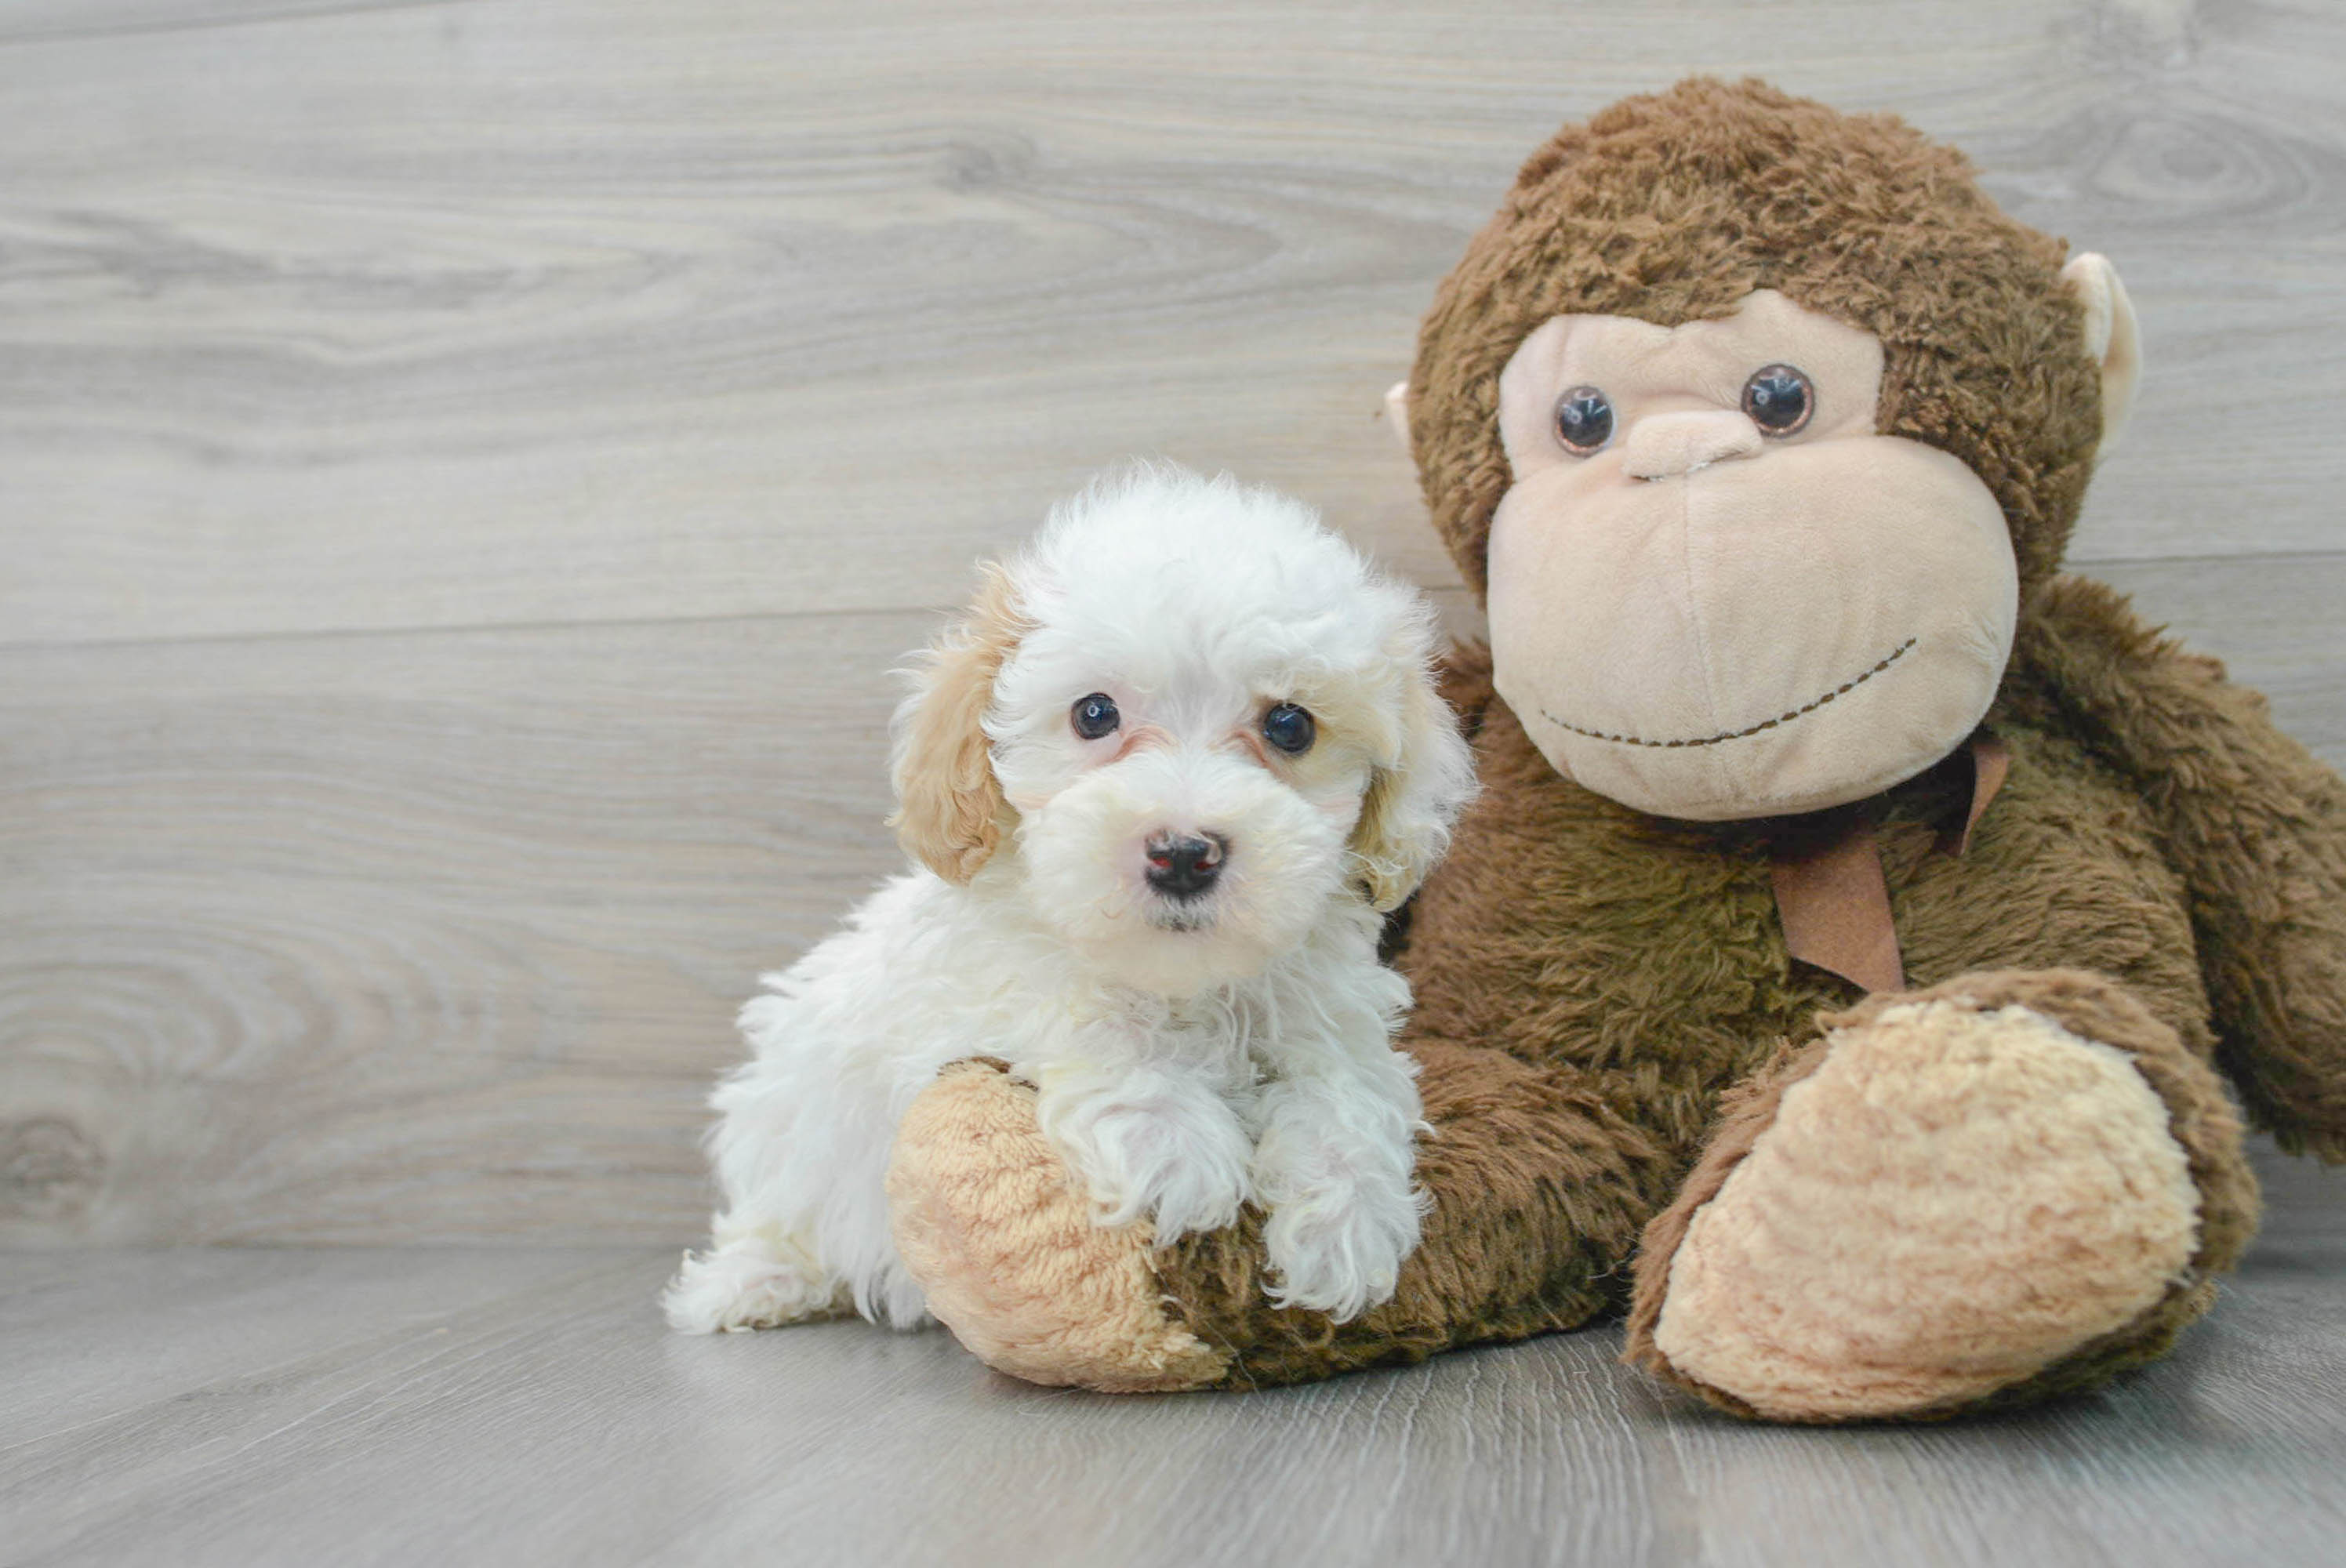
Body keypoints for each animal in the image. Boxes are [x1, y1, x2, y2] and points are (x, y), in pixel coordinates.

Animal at [661, 464, 1464, 1333]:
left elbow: (1349, 1089)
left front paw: (1345, 1224)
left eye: (1290, 725)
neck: (1182, 980)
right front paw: (1178, 1151)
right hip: (789, 1107)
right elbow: (1084, 1015)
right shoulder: (982, 982)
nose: (1183, 854)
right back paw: (755, 1281)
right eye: (1093, 713)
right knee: (779, 1214)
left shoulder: (1329, 1010)